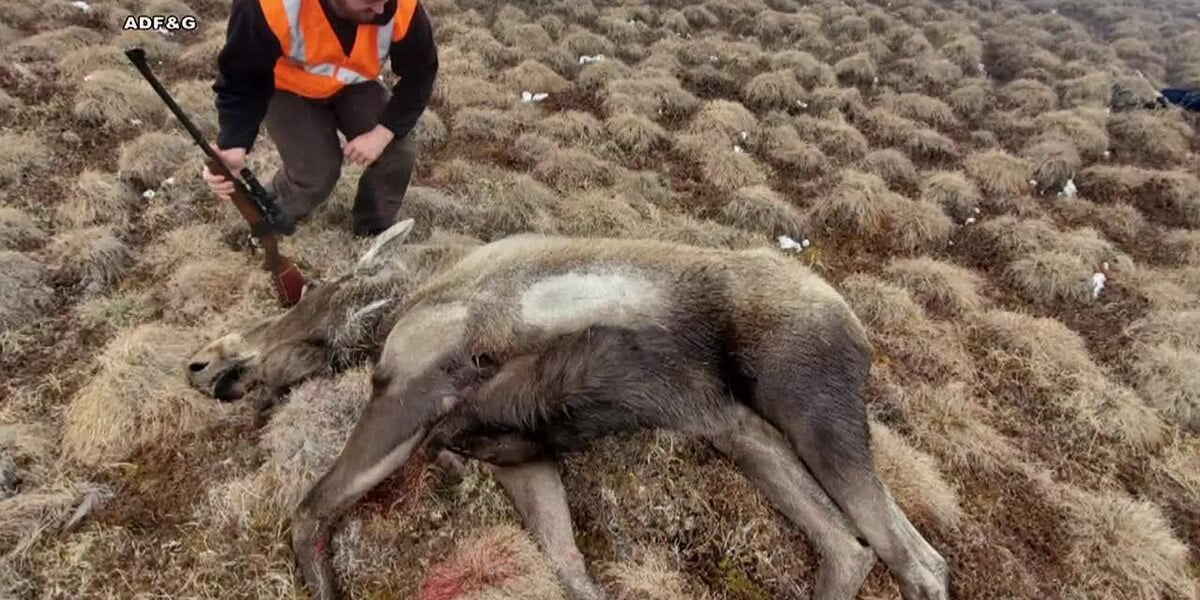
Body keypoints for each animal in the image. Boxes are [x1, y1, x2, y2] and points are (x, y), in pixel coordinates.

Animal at [184, 218, 950, 600]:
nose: (201, 362)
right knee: (870, 548)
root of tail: (853, 321)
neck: (400, 306)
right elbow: (567, 565)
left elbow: (309, 509)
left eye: (308, 291)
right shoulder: (517, 455)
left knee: (910, 560)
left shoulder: (407, 391)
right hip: (749, 434)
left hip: (811, 411)